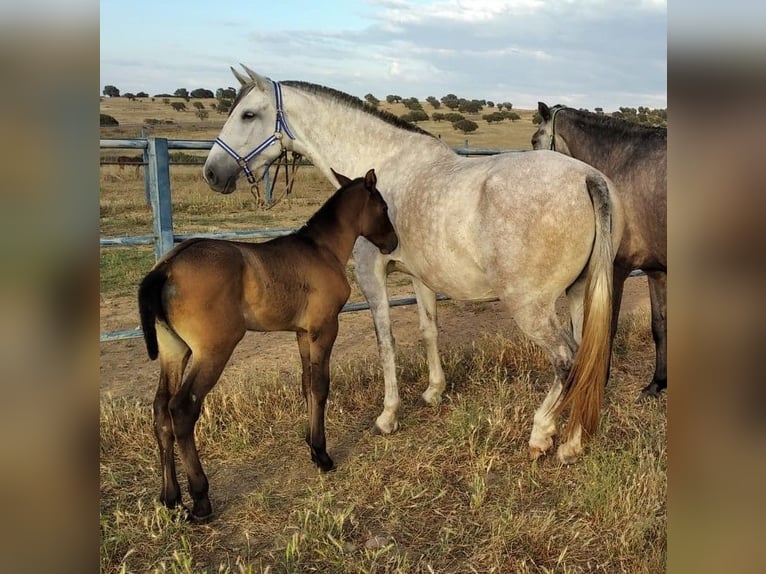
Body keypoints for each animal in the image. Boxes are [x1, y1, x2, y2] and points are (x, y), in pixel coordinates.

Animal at [138, 170, 400, 520]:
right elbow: (321, 386)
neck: (321, 249)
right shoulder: (324, 328)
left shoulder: (303, 333)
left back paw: (170, 497)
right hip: (213, 350)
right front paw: (322, 455)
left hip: (173, 351)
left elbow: (307, 385)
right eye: (383, 207)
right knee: (181, 408)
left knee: (160, 410)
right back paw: (201, 500)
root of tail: (166, 268)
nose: (393, 243)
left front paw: (311, 445)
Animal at [536, 103, 664, 398]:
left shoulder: (616, 268)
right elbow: (659, 325)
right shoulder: (655, 271)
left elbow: (606, 329)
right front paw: (657, 384)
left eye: (535, 141)